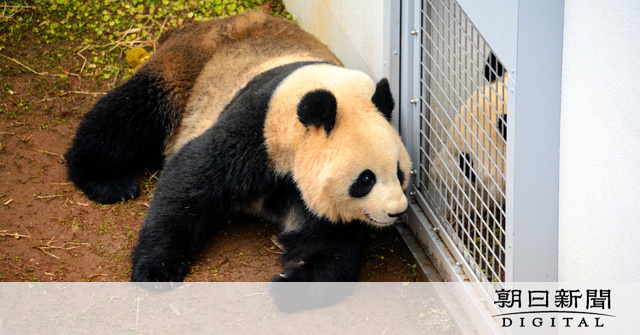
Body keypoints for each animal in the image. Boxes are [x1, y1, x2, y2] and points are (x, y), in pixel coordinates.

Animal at [65, 11, 412, 284]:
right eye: (365, 179)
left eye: (399, 173)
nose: (397, 211)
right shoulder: (259, 128)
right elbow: (189, 180)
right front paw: (155, 268)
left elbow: (328, 238)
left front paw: (292, 278)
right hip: (188, 67)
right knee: (132, 114)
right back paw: (107, 181)